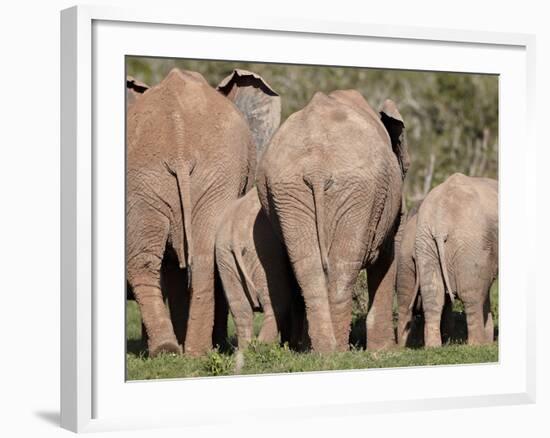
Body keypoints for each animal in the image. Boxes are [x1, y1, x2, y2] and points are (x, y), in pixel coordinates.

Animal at [126, 67, 280, 356]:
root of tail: (178, 137)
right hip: (201, 174)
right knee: (202, 256)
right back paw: (193, 351)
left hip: (151, 177)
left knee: (158, 259)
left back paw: (172, 350)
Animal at [217, 188, 310, 352]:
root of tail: (235, 233)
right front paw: (295, 347)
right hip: (264, 253)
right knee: (277, 302)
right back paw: (262, 348)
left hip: (225, 258)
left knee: (240, 310)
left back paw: (245, 352)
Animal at [258, 90, 410, 352]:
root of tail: (316, 168)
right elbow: (387, 256)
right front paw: (385, 351)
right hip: (358, 190)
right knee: (343, 264)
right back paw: (337, 350)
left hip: (287, 191)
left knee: (308, 266)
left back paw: (321, 350)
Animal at [418, 173, 500, 348]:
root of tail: (440, 224)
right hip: (471, 241)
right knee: (472, 295)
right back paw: (478, 346)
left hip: (425, 239)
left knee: (432, 293)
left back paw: (433, 347)